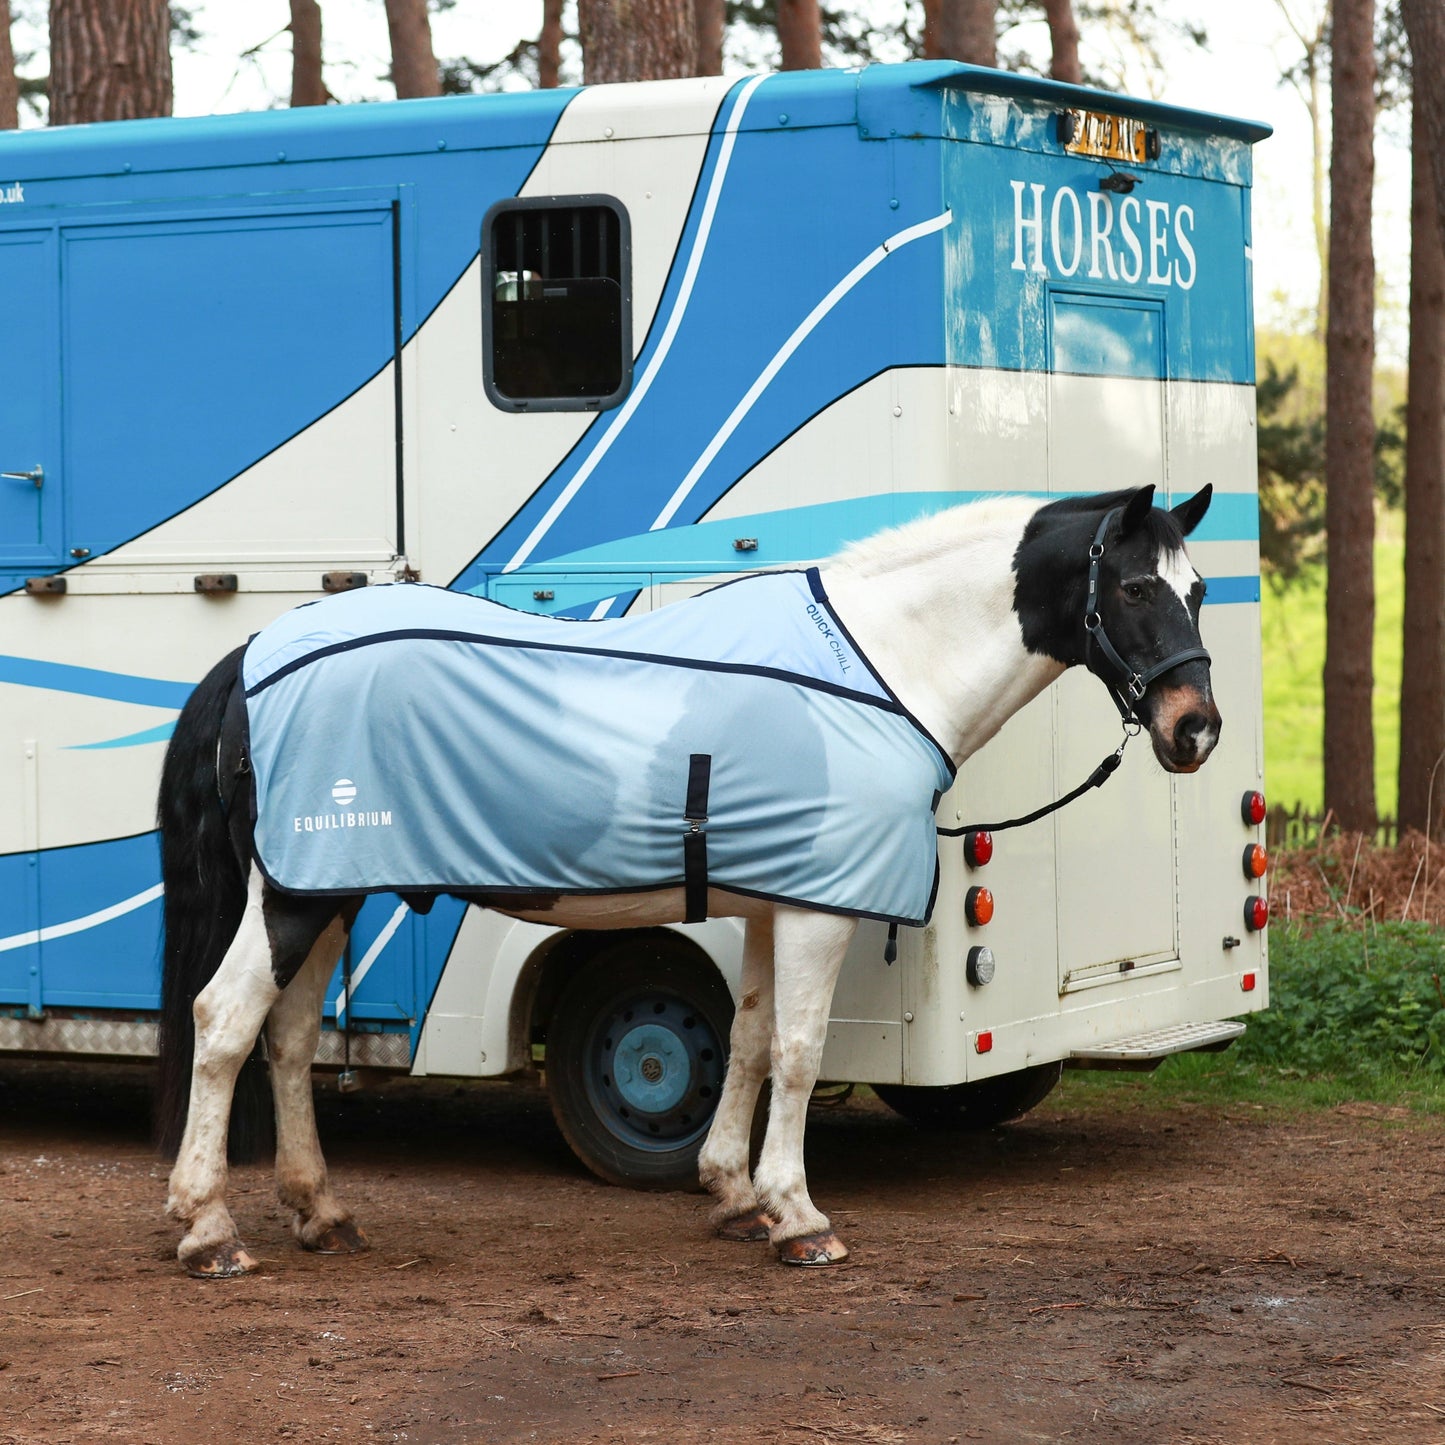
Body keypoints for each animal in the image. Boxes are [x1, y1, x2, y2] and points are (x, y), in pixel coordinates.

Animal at [154, 482, 1219, 1277]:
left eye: (1200, 587)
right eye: (1133, 589)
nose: (1195, 728)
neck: (875, 666)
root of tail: (253, 655)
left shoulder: (771, 903)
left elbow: (746, 1041)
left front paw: (735, 1197)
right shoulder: (816, 912)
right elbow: (797, 1050)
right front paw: (800, 1218)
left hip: (328, 888)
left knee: (288, 1035)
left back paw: (321, 1211)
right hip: (294, 896)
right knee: (225, 1020)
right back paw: (208, 1229)